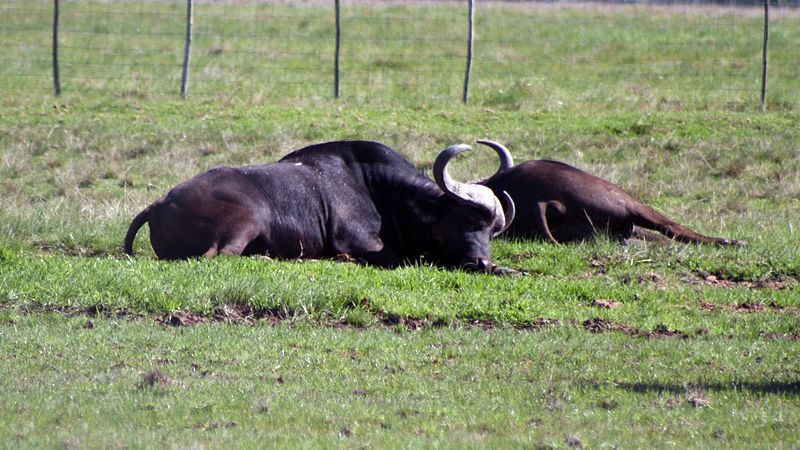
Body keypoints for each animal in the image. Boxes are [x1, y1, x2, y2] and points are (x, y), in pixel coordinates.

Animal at [122, 140, 516, 274]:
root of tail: (161, 203)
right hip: (247, 219)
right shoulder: (360, 242)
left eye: (491, 231)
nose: (481, 261)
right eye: (464, 220)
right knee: (219, 255)